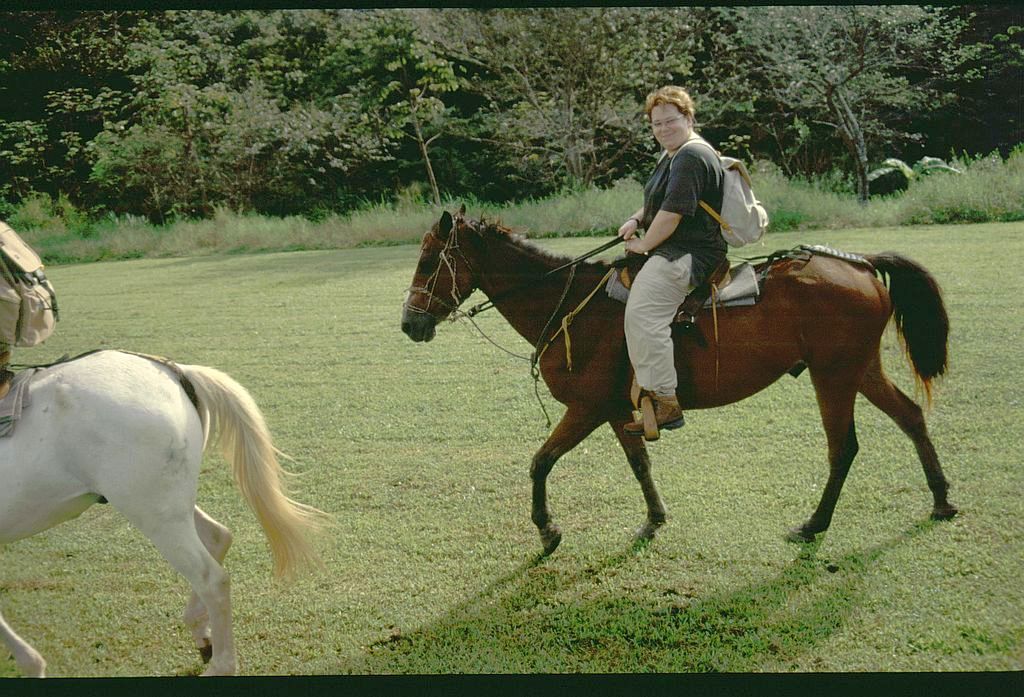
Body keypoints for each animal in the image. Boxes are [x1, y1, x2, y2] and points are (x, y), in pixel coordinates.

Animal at [0, 350, 326, 677]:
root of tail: (172, 370)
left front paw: (32, 664)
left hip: (153, 512)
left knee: (212, 579)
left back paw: (220, 664)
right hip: (167, 505)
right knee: (218, 536)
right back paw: (200, 630)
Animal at [400, 208, 957, 556]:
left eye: (428, 260)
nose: (409, 324)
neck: (571, 304)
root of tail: (861, 265)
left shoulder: (585, 409)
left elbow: (540, 462)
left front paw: (547, 530)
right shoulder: (617, 411)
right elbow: (639, 464)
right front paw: (653, 518)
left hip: (834, 376)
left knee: (843, 448)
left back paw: (815, 523)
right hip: (860, 370)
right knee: (911, 416)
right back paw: (941, 500)